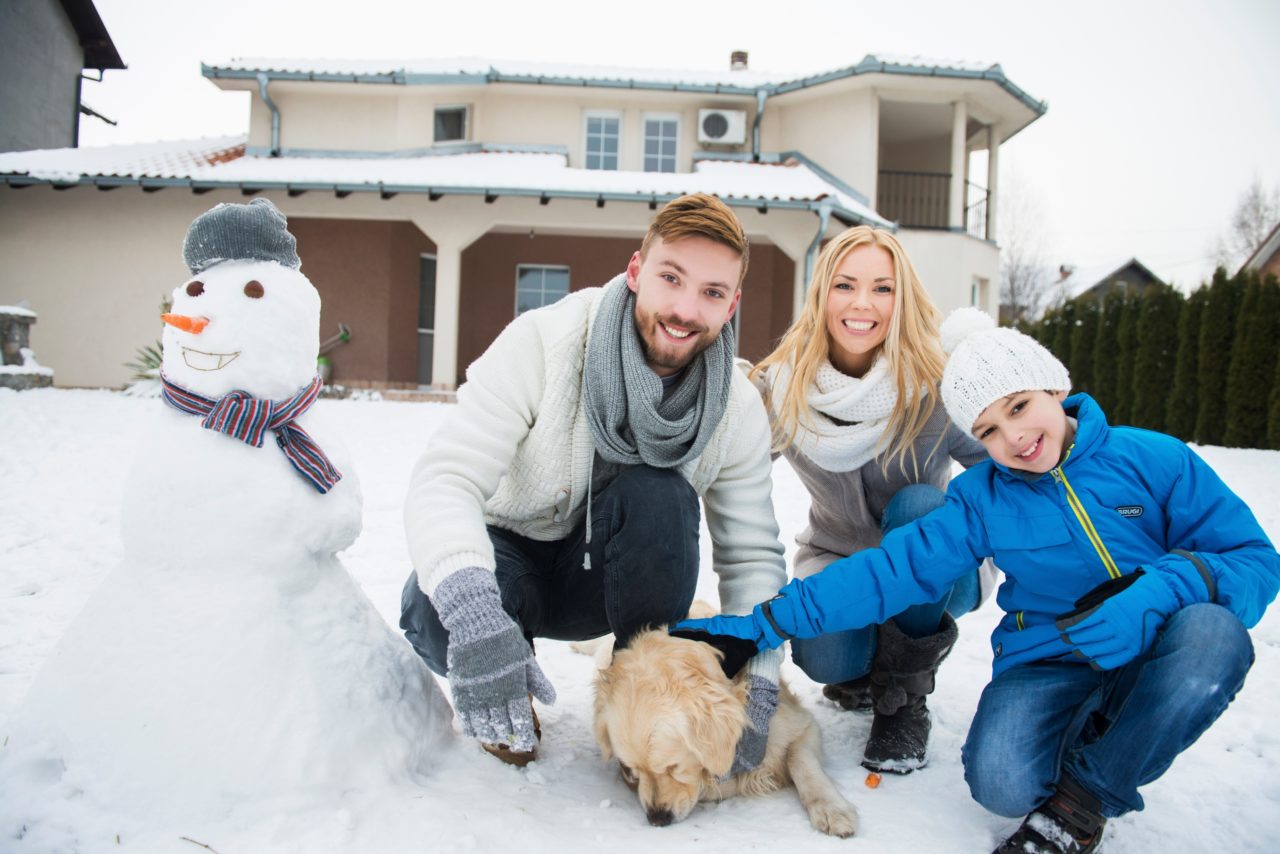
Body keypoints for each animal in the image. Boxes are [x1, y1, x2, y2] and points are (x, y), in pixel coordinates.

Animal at [588, 606, 860, 839]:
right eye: (631, 770)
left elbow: (800, 760)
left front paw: (831, 809)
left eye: (673, 767)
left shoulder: (802, 725)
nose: (657, 819)